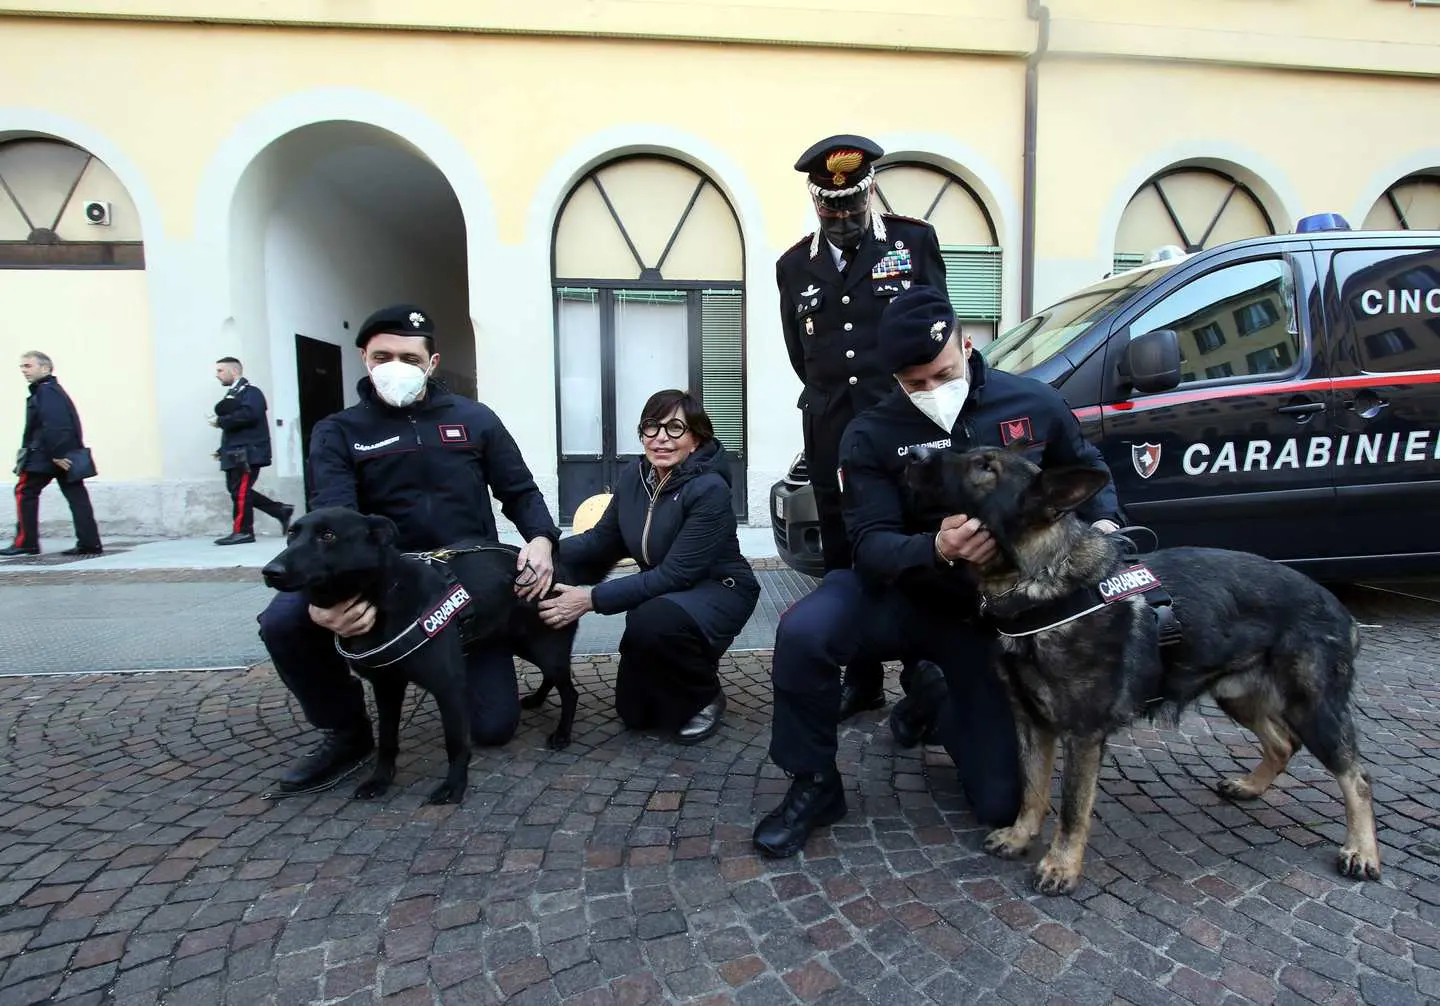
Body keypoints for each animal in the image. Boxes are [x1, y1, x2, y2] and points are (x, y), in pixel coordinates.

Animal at [262, 506, 475, 805]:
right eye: (292, 533)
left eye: (328, 535)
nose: (270, 572)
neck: (384, 593)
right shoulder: (386, 687)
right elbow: (386, 738)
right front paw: (380, 779)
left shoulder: (449, 686)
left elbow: (455, 741)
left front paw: (454, 785)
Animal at [898, 449, 1382, 898]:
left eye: (986, 467)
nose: (914, 456)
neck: (1042, 580)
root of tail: (1336, 605)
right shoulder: (1032, 724)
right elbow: (1032, 791)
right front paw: (1020, 837)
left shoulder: (1083, 736)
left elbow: (1072, 808)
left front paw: (1061, 865)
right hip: (1237, 695)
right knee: (1282, 743)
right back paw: (1250, 786)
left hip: (1312, 709)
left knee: (1356, 778)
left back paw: (1361, 851)